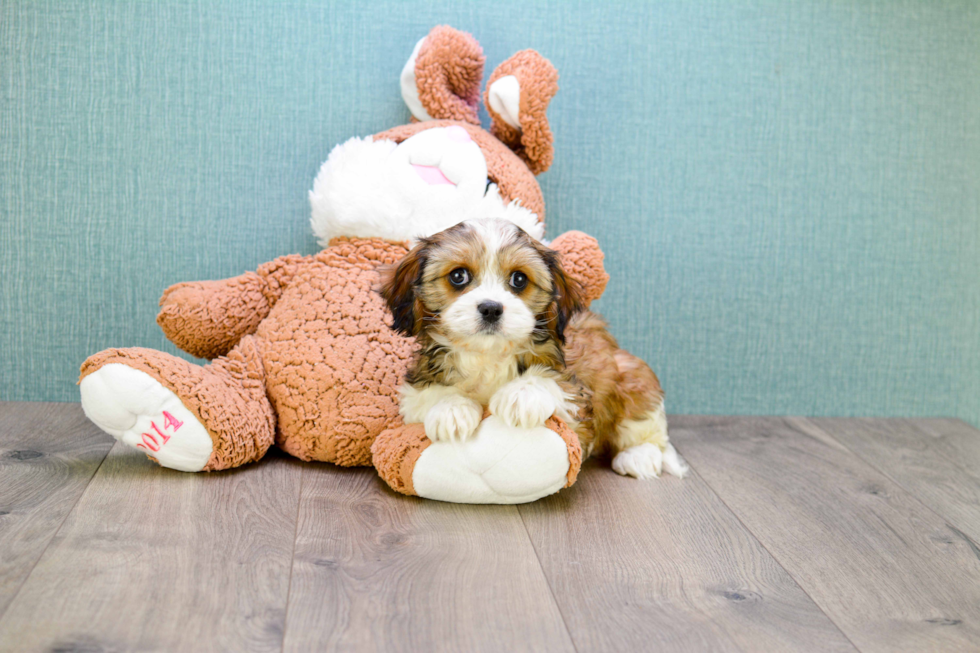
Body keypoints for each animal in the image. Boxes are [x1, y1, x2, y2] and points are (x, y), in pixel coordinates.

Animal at [378, 219, 684, 478]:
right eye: (458, 276)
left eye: (519, 279)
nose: (491, 308)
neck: (487, 357)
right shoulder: (414, 391)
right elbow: (428, 394)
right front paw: (451, 409)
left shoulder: (577, 401)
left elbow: (554, 382)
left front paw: (520, 395)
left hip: (633, 377)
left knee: (647, 429)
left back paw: (639, 456)